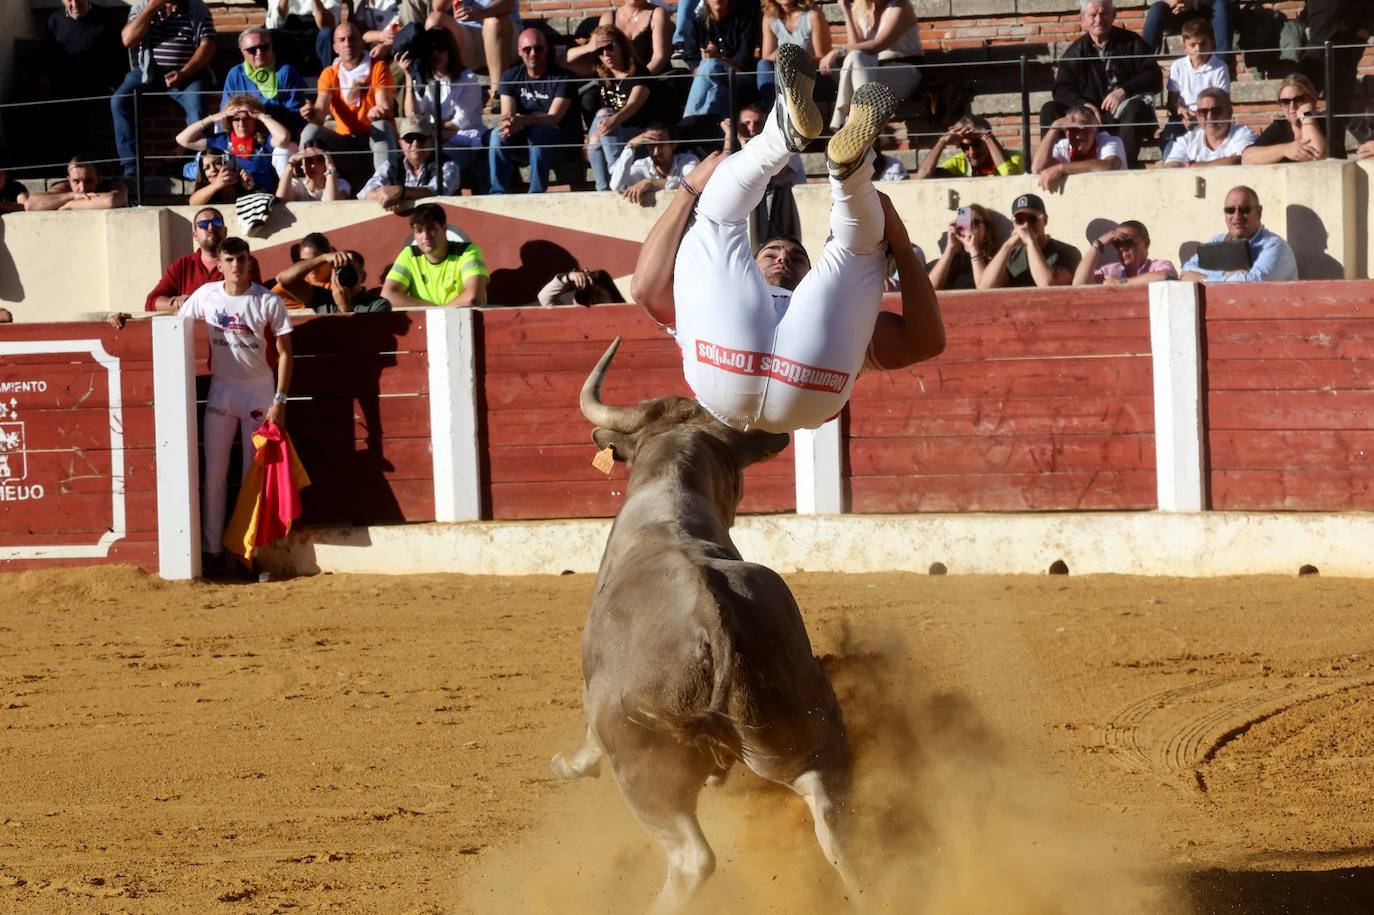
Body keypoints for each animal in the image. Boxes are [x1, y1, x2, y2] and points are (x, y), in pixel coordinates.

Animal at [549, 337, 857, 906]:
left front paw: (570, 764)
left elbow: (586, 738)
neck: (668, 502)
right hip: (806, 732)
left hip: (647, 778)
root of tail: (713, 620)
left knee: (693, 860)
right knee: (832, 820)